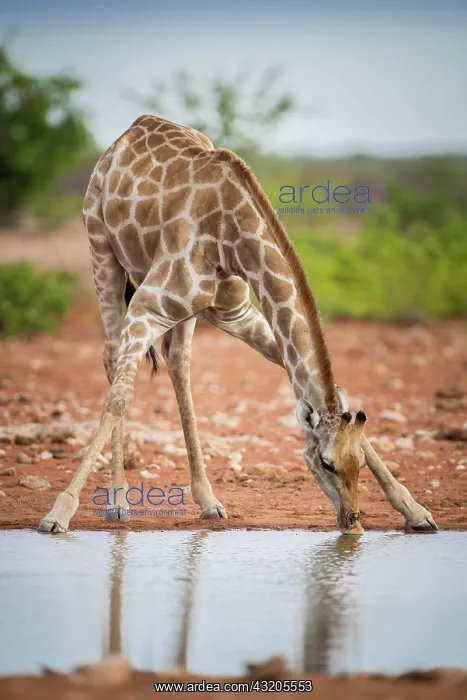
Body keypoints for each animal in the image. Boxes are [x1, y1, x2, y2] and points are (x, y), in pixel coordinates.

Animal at [39, 114, 437, 535]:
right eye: (326, 463)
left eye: (356, 461)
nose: (352, 521)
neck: (232, 239)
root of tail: (126, 133)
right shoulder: (147, 305)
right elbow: (119, 397)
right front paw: (59, 513)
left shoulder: (236, 311)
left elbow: (294, 369)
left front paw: (415, 510)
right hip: (102, 250)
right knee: (113, 356)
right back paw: (117, 500)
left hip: (185, 308)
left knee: (177, 362)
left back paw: (208, 499)